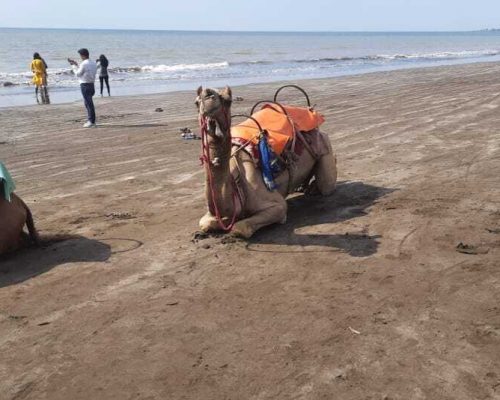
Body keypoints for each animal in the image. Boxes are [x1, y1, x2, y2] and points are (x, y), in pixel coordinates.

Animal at [194, 85, 336, 238]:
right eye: (196, 102)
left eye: (228, 100)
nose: (208, 95)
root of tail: (309, 110)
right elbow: (205, 223)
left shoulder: (277, 205)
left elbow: (240, 228)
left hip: (324, 143)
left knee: (326, 185)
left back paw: (314, 188)